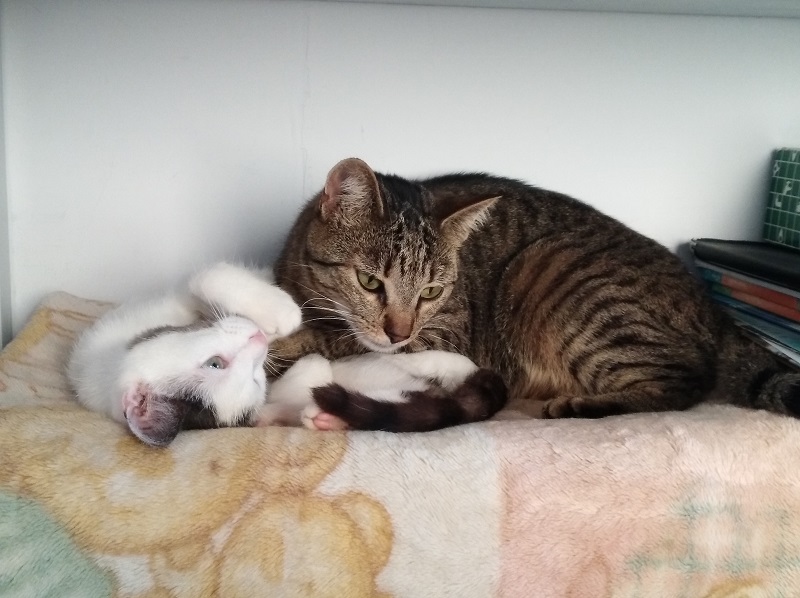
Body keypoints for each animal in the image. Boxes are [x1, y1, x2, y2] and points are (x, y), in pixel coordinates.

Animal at [68, 262, 508, 445]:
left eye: (213, 363)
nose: (259, 337)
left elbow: (204, 276)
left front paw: (279, 309)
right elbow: (309, 372)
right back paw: (333, 418)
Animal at [271, 157, 800, 420]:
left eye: (431, 293)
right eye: (369, 281)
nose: (398, 332)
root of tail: (714, 310)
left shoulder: (445, 333)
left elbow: (335, 340)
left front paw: (296, 342)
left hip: (556, 271)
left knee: (683, 383)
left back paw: (581, 406)